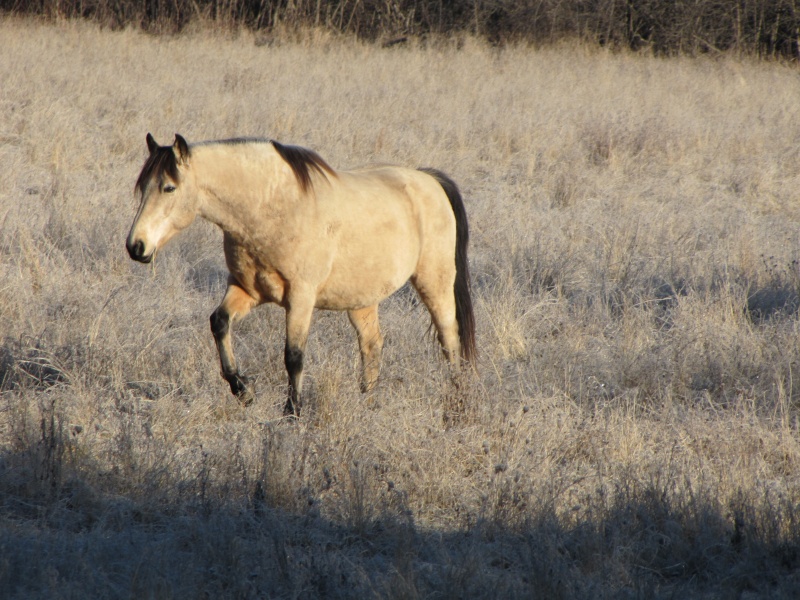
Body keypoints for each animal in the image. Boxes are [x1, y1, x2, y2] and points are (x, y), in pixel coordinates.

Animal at [125, 135, 476, 418]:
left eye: (169, 187)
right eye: (143, 186)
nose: (136, 246)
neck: (272, 208)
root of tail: (429, 180)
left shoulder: (300, 298)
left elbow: (293, 356)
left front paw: (292, 412)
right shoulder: (246, 290)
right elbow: (219, 323)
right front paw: (243, 390)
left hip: (434, 283)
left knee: (449, 339)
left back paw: (457, 403)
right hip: (362, 300)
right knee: (372, 345)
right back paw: (367, 403)